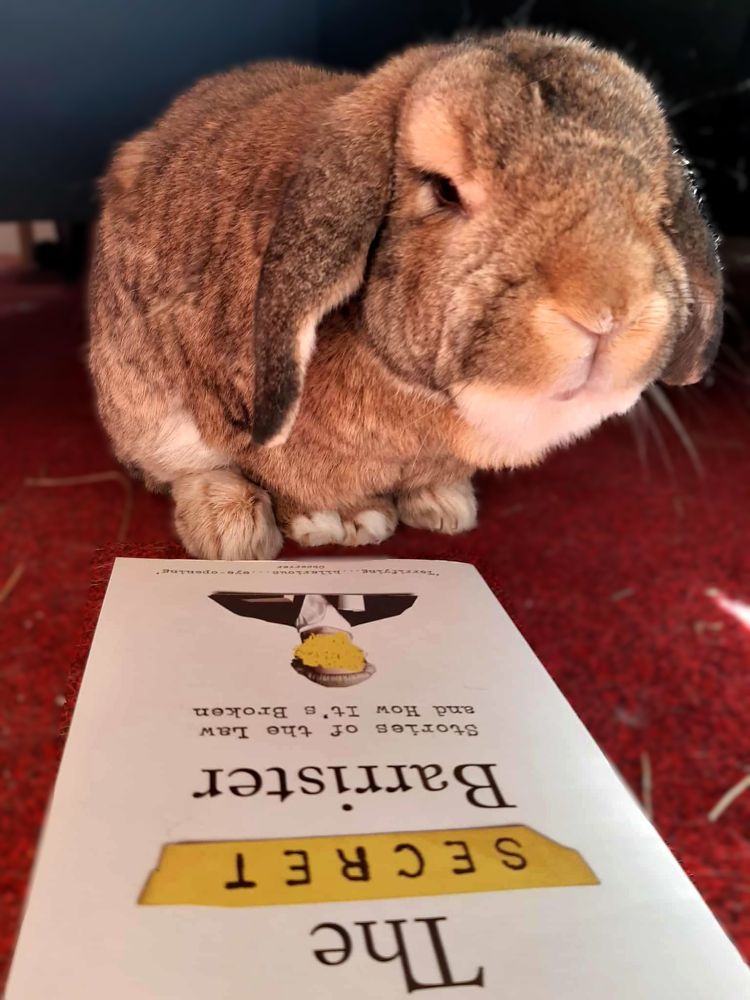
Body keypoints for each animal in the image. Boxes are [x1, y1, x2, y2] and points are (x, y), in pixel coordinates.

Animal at [88, 30, 722, 560]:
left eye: (659, 205)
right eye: (443, 190)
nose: (608, 309)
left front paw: (441, 506)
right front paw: (340, 523)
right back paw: (231, 531)